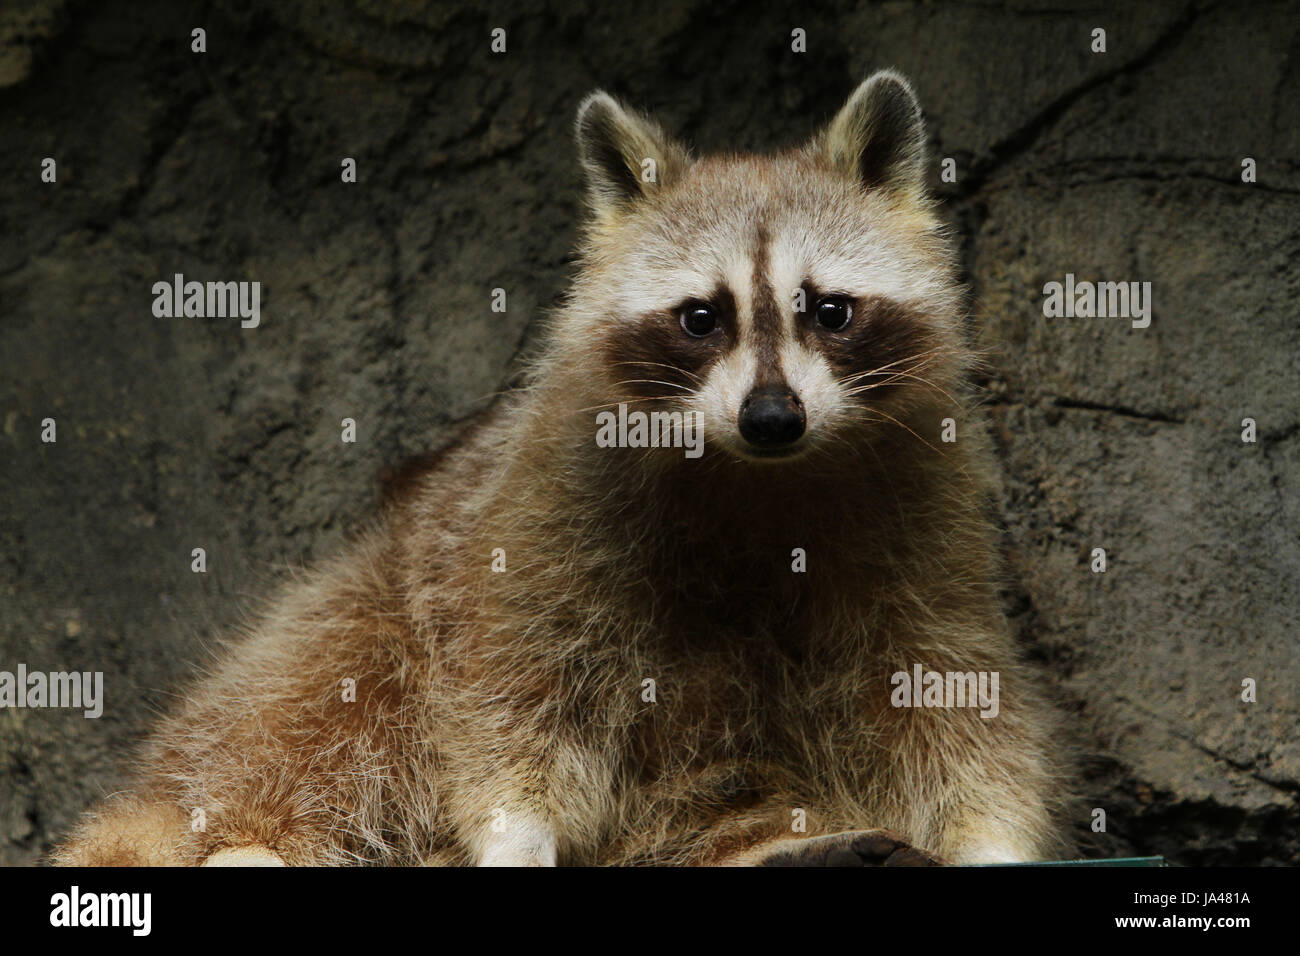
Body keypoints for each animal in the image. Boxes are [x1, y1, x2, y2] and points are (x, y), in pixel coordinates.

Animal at [53, 71, 1066, 867]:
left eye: (829, 310)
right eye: (702, 317)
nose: (772, 417)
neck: (757, 475)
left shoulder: (923, 510)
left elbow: (945, 684)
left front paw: (989, 835)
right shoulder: (538, 505)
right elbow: (513, 684)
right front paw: (515, 832)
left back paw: (798, 845)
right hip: (369, 594)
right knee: (324, 693)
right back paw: (245, 838)